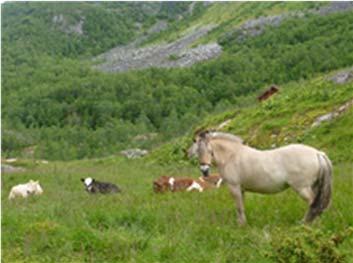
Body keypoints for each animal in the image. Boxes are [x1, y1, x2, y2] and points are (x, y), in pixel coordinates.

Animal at [188, 131, 332, 226]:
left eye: (210, 150)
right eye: (198, 151)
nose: (205, 171)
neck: (232, 156)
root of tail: (317, 153)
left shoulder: (234, 187)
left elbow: (239, 207)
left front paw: (241, 226)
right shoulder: (241, 189)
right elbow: (241, 207)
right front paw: (241, 223)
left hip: (302, 188)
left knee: (313, 204)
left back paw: (308, 223)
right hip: (314, 186)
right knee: (319, 204)